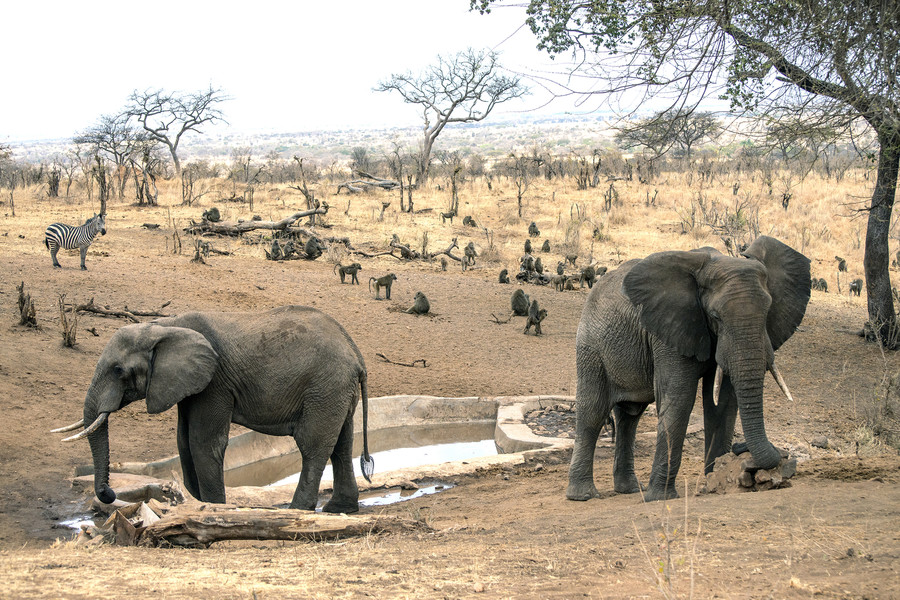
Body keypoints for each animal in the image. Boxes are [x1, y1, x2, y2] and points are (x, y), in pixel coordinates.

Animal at [54, 306, 374, 513]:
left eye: (118, 370)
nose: (108, 494)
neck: (166, 325)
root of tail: (357, 353)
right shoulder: (188, 385)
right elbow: (183, 442)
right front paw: (195, 503)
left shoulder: (215, 382)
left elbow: (203, 443)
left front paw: (212, 507)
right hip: (335, 391)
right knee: (342, 444)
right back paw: (338, 509)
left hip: (324, 386)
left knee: (313, 446)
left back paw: (297, 511)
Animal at [567, 236, 810, 502]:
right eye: (715, 315)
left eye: (767, 312)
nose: (741, 448)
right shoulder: (670, 329)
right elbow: (679, 399)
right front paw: (660, 498)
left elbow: (722, 403)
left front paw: (714, 482)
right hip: (591, 346)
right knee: (593, 411)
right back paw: (583, 495)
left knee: (629, 416)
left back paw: (629, 489)